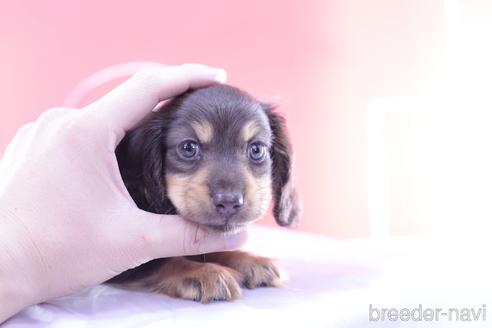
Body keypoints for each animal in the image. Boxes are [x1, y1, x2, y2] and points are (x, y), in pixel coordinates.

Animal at [109, 84, 298, 302]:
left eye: (257, 149)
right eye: (188, 147)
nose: (229, 202)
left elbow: (213, 248)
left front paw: (251, 260)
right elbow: (161, 260)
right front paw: (204, 273)